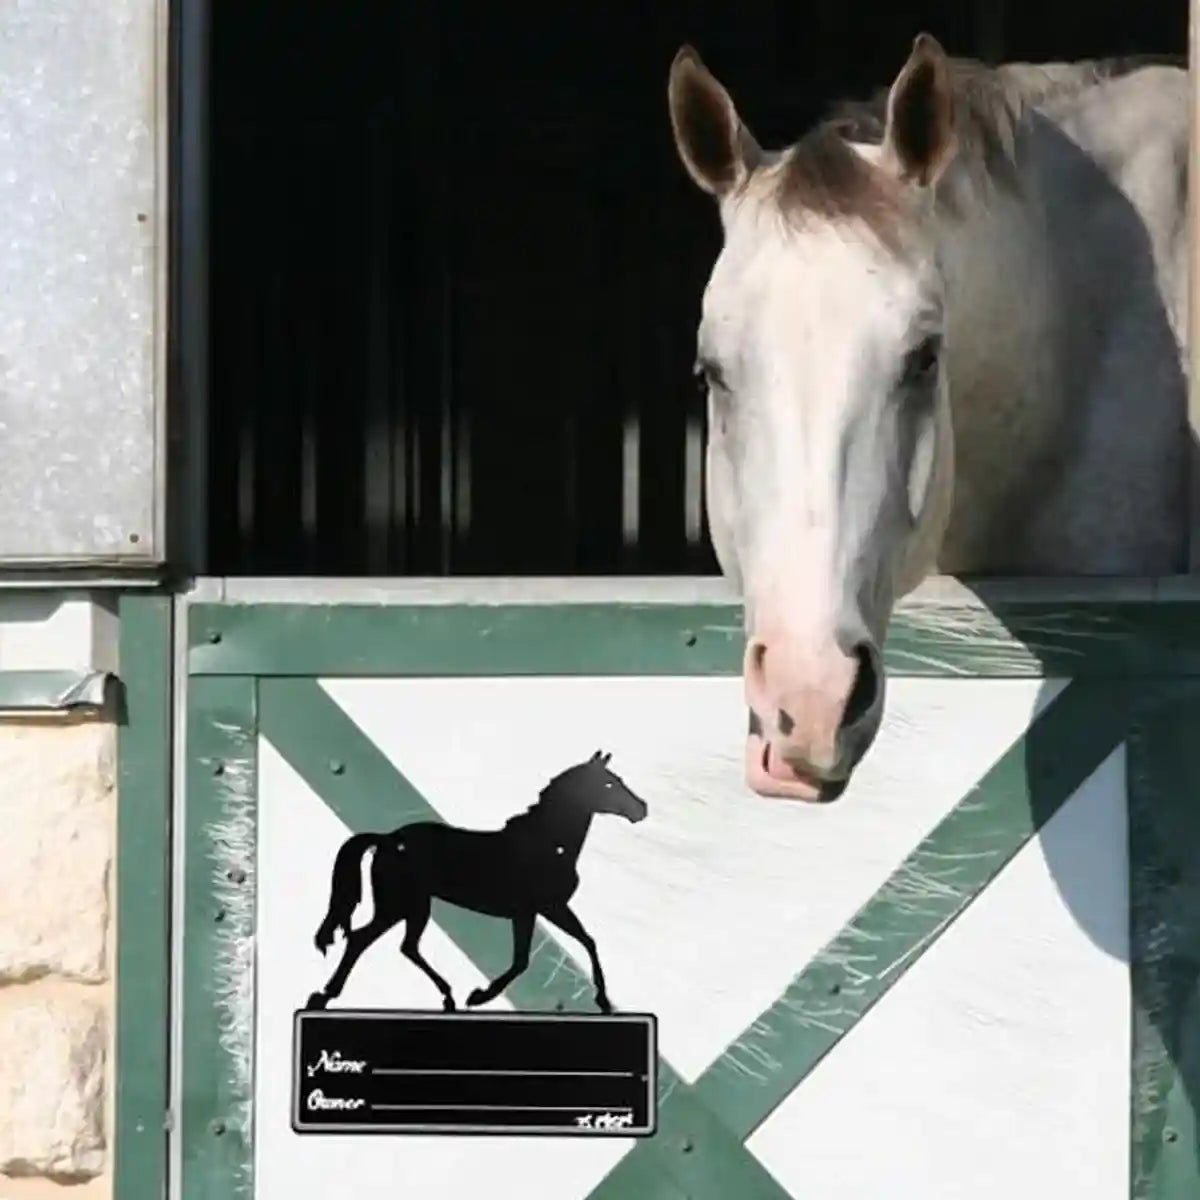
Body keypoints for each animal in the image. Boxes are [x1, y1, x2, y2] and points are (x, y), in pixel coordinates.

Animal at [305, 750, 648, 1014]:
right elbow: (523, 961)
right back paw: (326, 995)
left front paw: (604, 1001)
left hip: (414, 906)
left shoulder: (548, 909)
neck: (549, 845)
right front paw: (481, 996)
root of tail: (388, 839)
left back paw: (447, 996)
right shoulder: (536, 910)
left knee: (405, 946)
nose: (641, 809)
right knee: (362, 939)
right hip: (399, 905)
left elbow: (586, 941)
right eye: (609, 783)